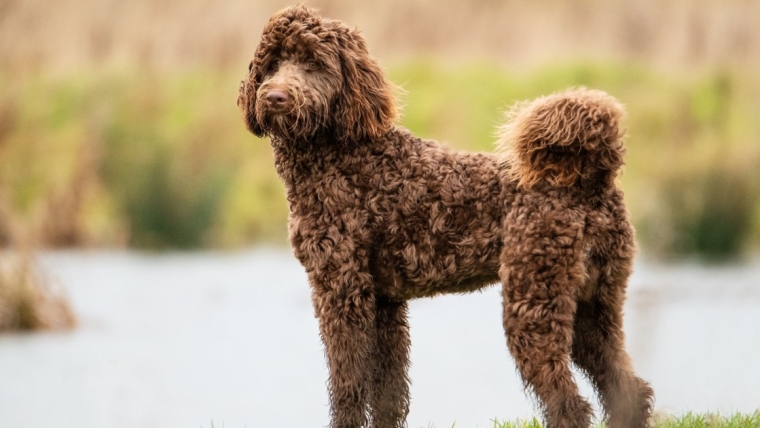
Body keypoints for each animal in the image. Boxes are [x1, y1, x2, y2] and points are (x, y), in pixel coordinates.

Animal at [236, 4, 652, 428]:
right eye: (272, 63)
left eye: (314, 62)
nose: (275, 96)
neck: (341, 156)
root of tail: (592, 180)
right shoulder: (384, 303)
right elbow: (387, 393)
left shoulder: (341, 290)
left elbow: (348, 384)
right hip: (593, 306)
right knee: (628, 391)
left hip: (535, 303)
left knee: (570, 404)